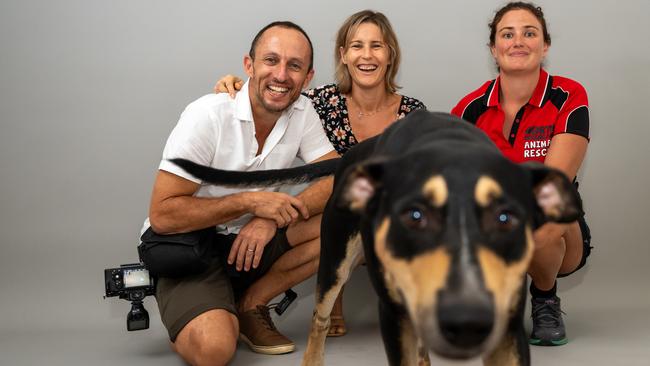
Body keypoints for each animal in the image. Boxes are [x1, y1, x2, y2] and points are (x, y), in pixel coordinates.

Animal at [170, 111, 580, 366]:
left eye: (506, 218)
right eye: (414, 216)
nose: (465, 318)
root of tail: (358, 153)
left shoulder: (506, 328)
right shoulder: (394, 315)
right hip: (334, 261)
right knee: (319, 321)